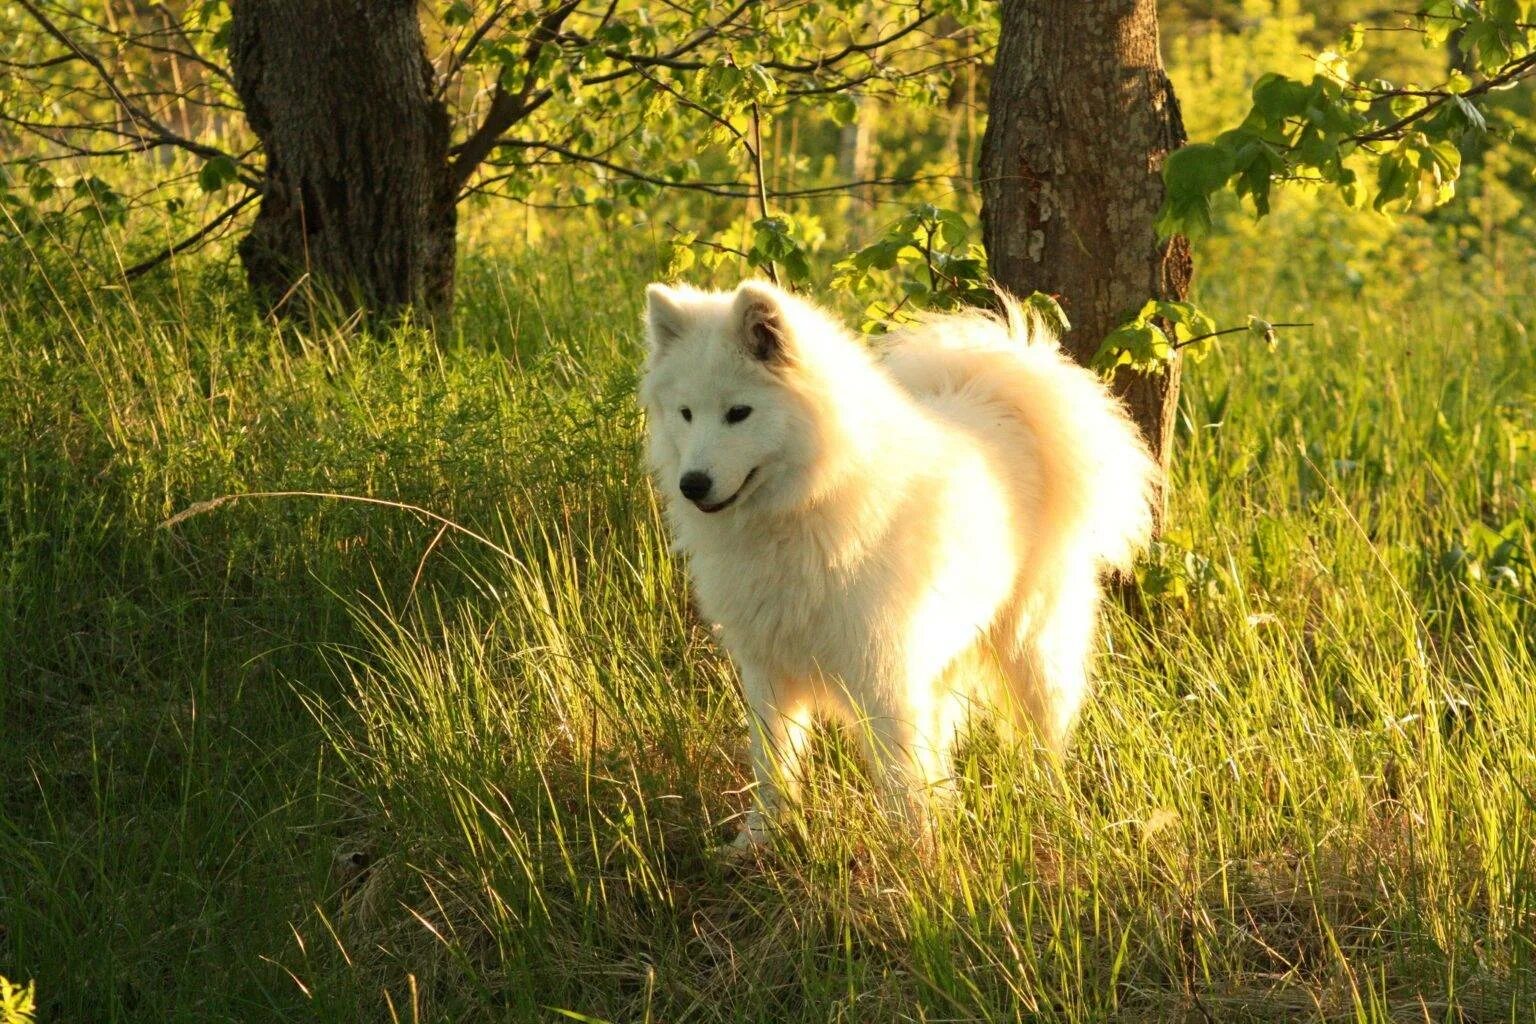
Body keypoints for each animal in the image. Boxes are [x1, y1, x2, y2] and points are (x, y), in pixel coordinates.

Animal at [635, 277, 1155, 841]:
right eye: (686, 414)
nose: (692, 484)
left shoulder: (882, 671)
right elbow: (772, 765)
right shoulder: (769, 669)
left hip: (1030, 644)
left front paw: (912, 852)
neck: (803, 504)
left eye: (738, 413)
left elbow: (899, 776)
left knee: (1044, 735)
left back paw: (1051, 805)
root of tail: (1003, 395)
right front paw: (759, 839)